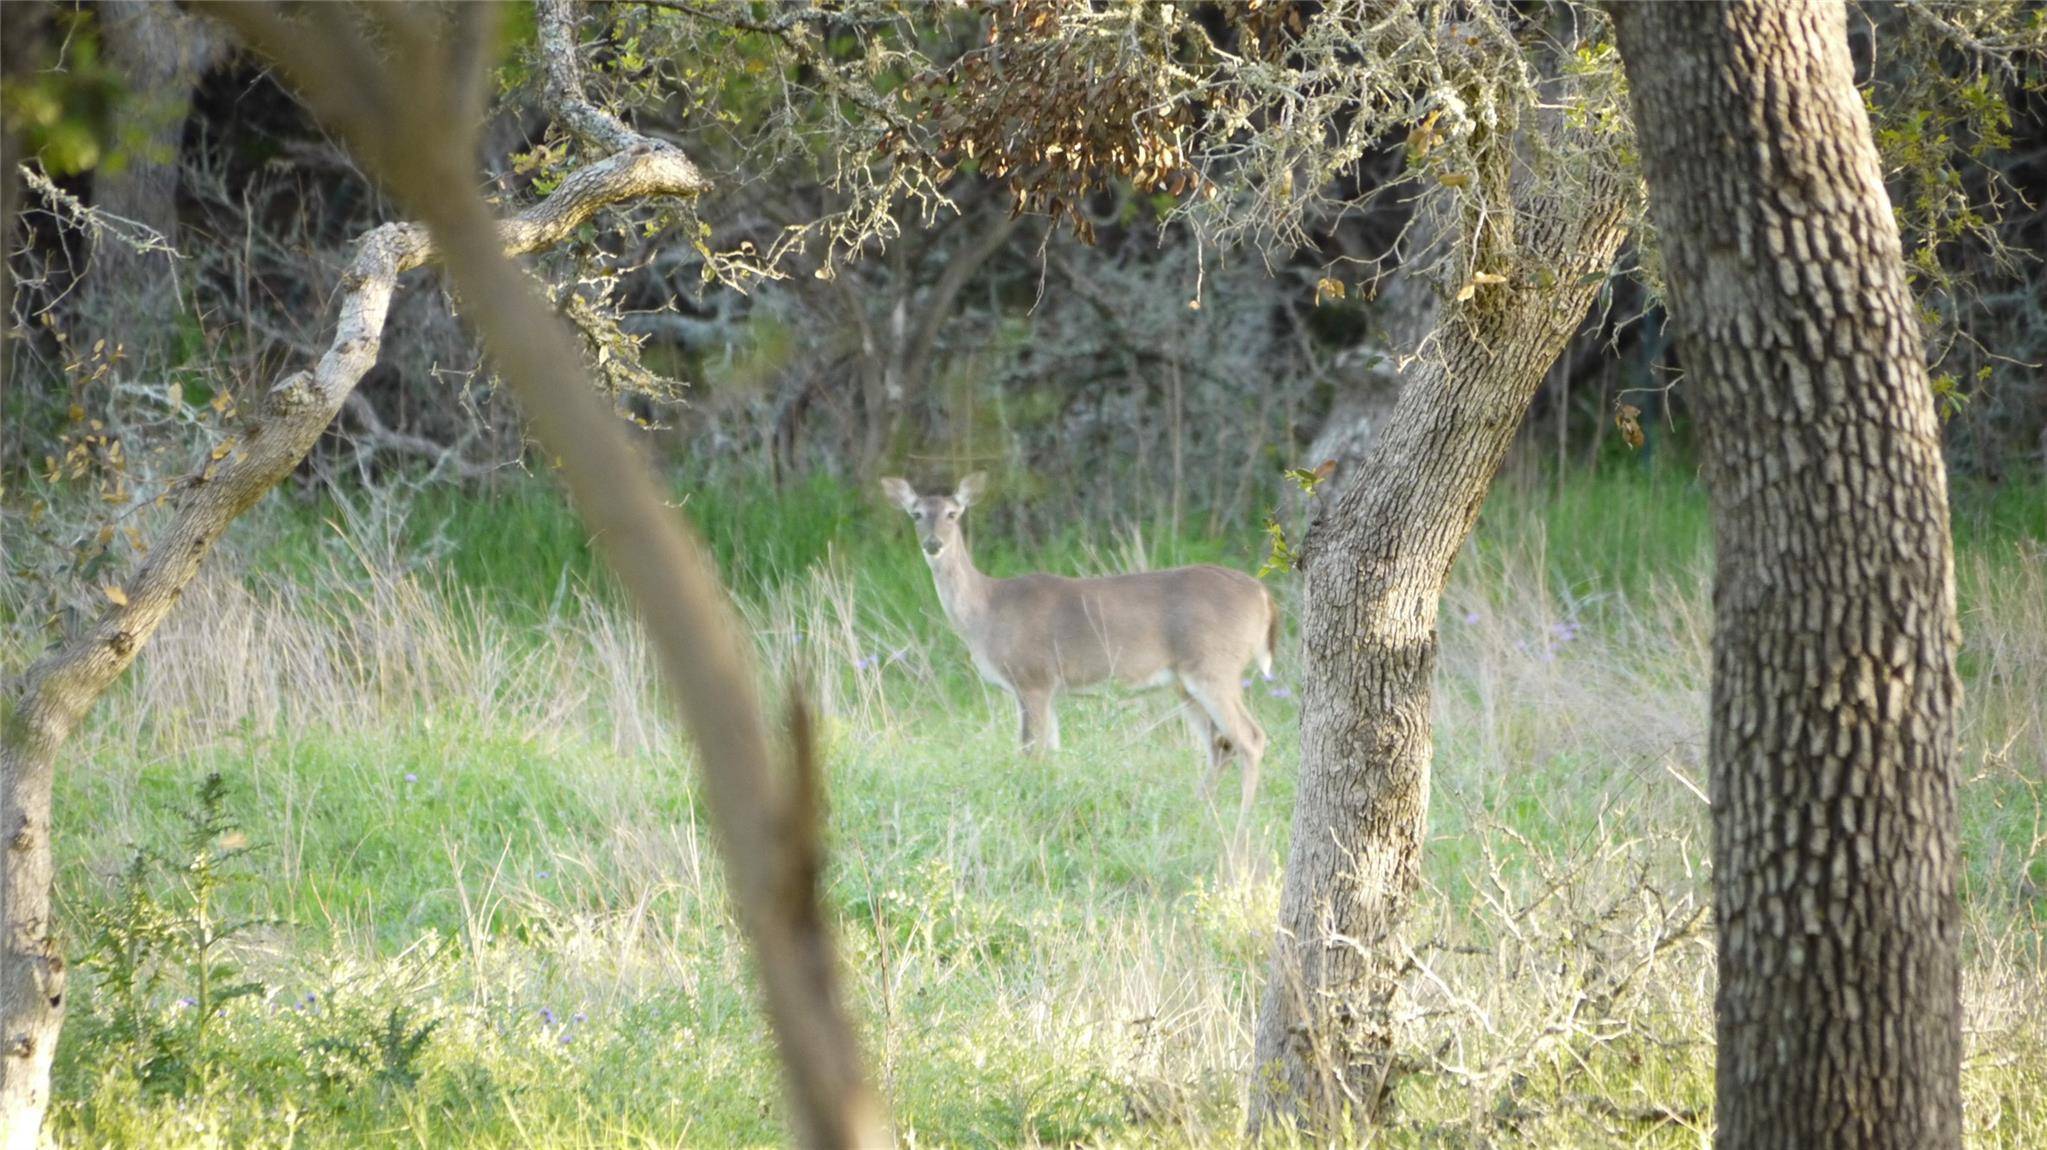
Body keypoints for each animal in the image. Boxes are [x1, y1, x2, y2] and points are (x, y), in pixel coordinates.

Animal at [884, 470, 1277, 826]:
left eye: (953, 513)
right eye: (916, 513)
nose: (933, 543)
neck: (987, 611)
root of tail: (1262, 596)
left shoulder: (1034, 677)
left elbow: (1031, 751)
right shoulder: (1045, 688)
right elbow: (1051, 750)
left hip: (1214, 667)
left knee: (1251, 737)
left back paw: (1242, 822)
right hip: (1186, 683)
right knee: (1220, 745)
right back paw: (1197, 811)